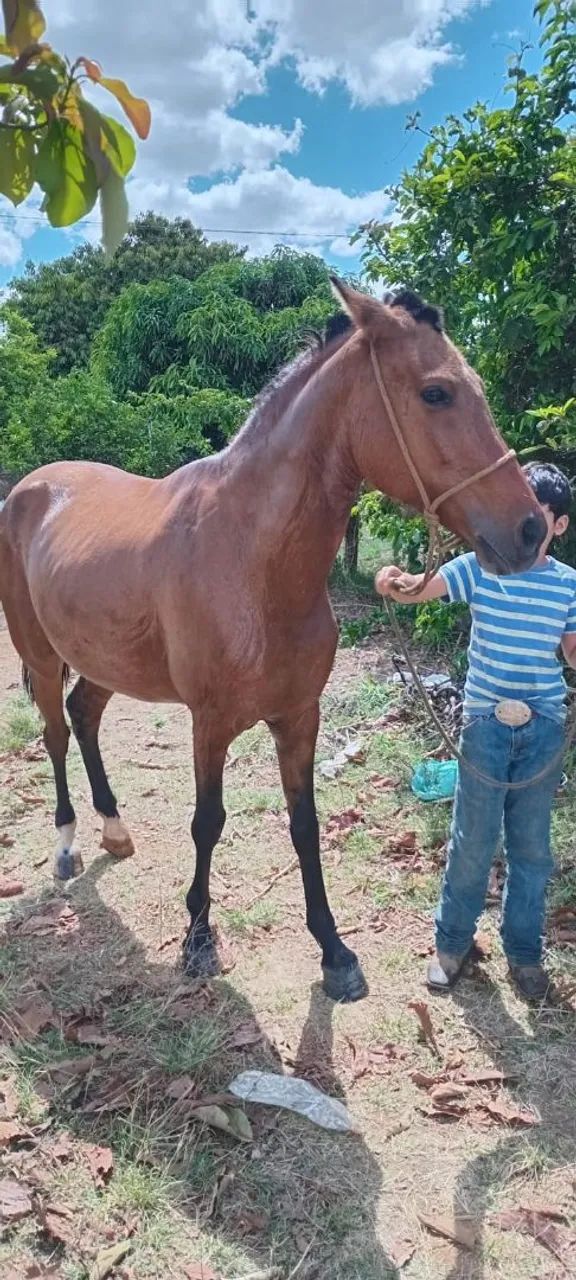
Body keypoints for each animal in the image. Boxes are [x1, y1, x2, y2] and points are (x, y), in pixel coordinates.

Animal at [0, 279, 546, 1002]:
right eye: (437, 393)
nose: (531, 530)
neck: (250, 559)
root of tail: (31, 487)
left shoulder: (299, 717)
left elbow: (305, 824)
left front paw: (334, 951)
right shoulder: (210, 722)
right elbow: (208, 822)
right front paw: (199, 939)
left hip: (104, 660)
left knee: (82, 716)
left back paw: (114, 830)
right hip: (39, 650)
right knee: (56, 733)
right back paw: (67, 845)